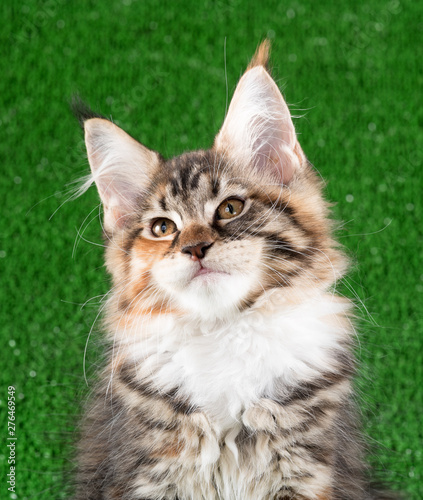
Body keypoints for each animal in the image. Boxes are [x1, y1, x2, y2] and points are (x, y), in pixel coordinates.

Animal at [71, 42, 392, 500]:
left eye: (229, 208)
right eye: (163, 228)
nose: (194, 247)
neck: (224, 332)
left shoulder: (305, 468)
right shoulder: (146, 468)